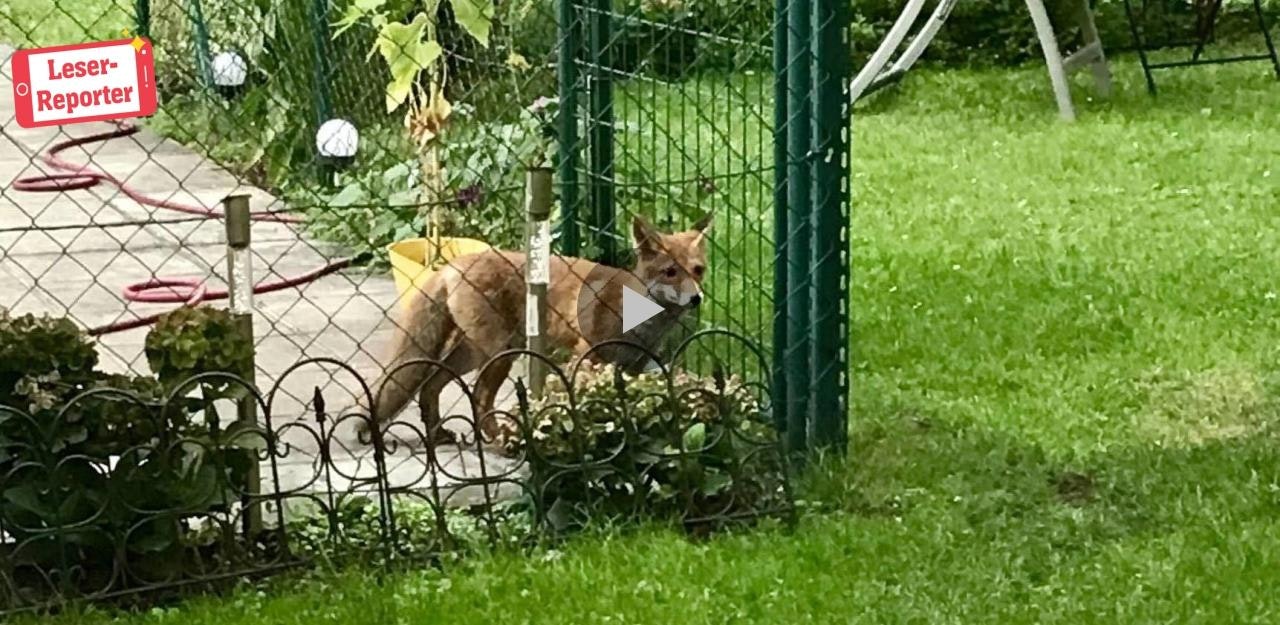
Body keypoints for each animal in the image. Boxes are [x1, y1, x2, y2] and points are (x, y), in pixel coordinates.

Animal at [362, 212, 713, 446]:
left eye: (698, 270)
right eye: (670, 272)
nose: (696, 299)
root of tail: (452, 265)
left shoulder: (633, 364)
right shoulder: (587, 354)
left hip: (472, 353)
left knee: (430, 386)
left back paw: (438, 435)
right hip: (499, 352)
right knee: (479, 396)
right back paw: (499, 440)